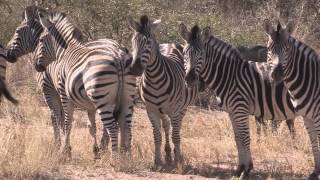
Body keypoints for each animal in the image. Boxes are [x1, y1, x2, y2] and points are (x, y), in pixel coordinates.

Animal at [128, 15, 200, 169]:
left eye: (148, 42)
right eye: (132, 41)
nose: (135, 69)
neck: (155, 80)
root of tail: (171, 43)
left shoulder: (175, 110)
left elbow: (176, 136)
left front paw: (178, 160)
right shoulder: (151, 110)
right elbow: (157, 135)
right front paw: (157, 161)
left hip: (182, 108)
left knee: (176, 129)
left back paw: (176, 154)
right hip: (161, 109)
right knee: (166, 126)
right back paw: (167, 154)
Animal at [179, 23, 298, 177]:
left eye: (201, 54)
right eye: (184, 53)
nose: (190, 79)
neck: (230, 75)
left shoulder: (240, 109)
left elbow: (245, 138)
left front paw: (247, 170)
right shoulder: (232, 111)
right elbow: (238, 139)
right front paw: (240, 168)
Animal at [264, 19, 320, 179]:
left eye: (287, 49)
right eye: (269, 49)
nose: (277, 74)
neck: (310, 80)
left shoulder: (318, 117)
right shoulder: (307, 117)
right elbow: (314, 142)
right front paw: (315, 172)